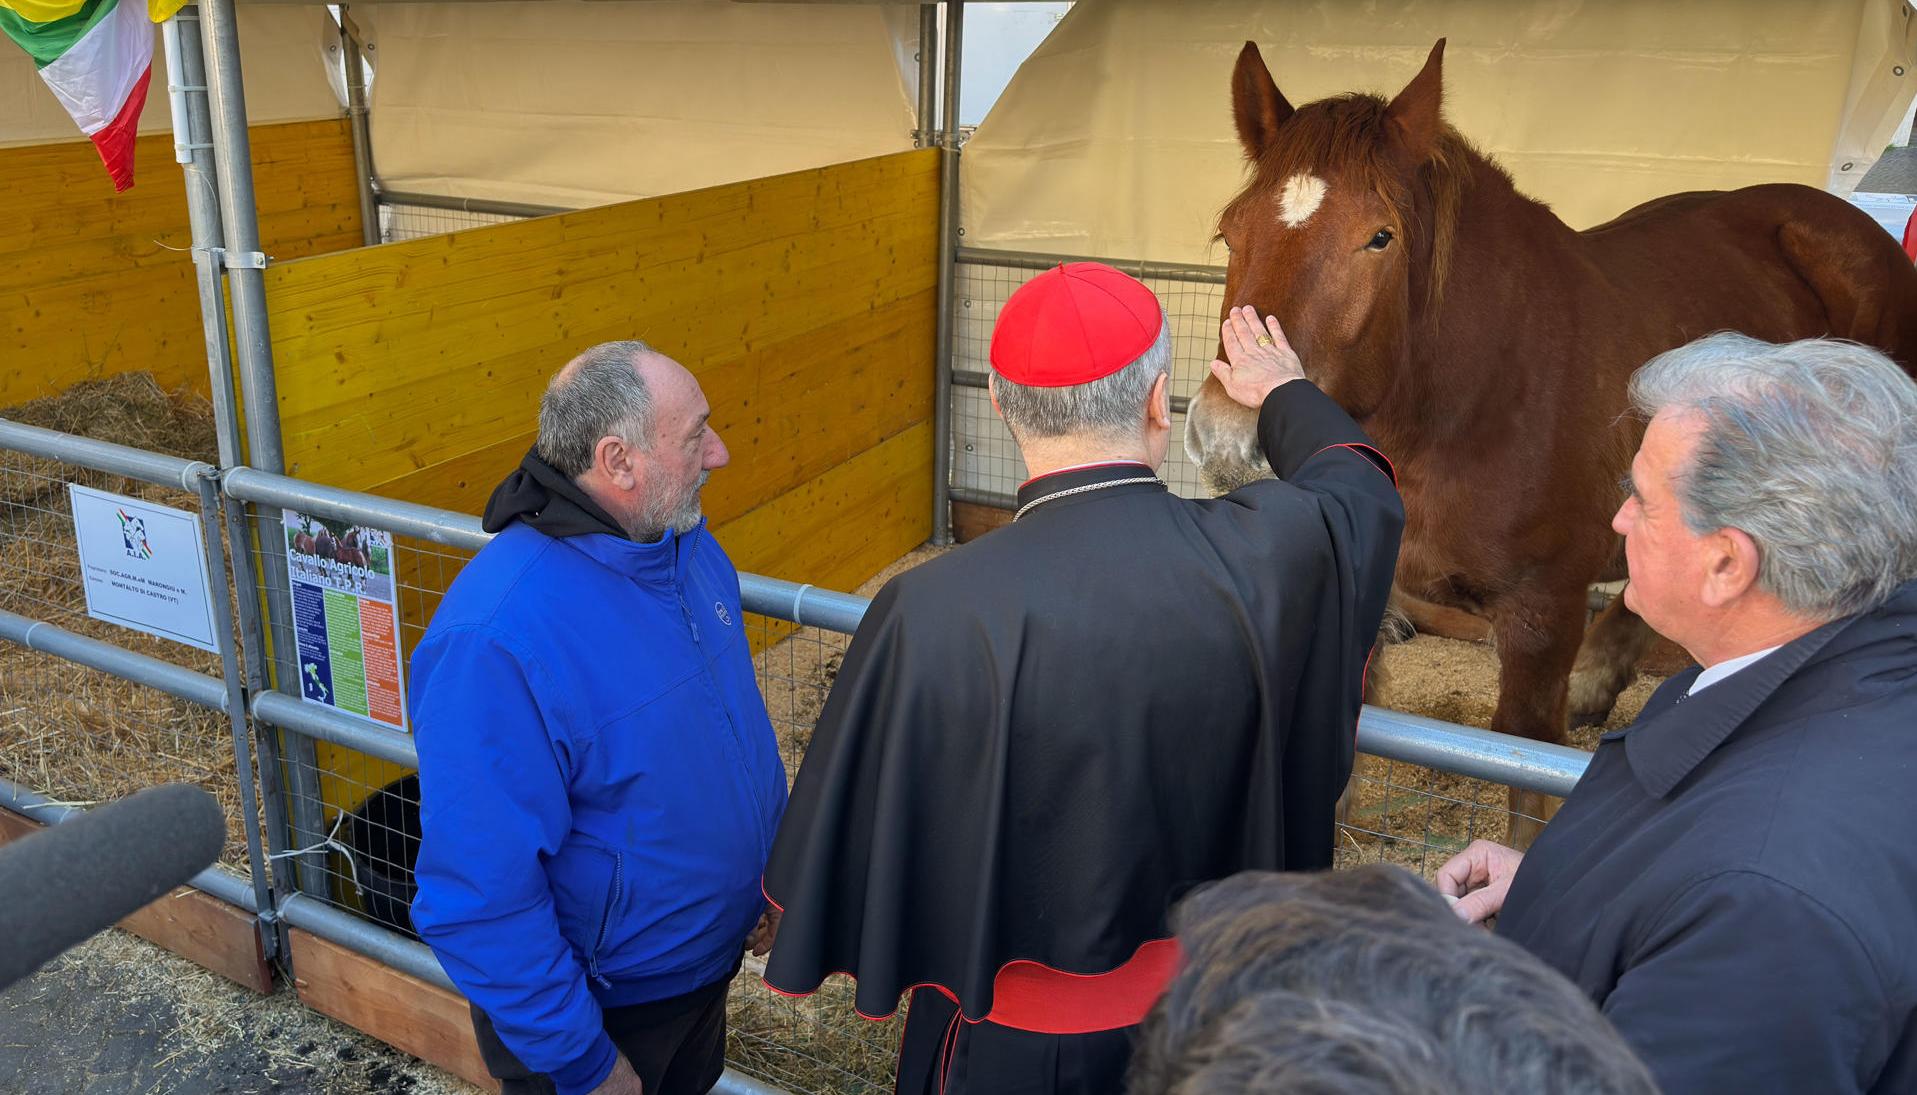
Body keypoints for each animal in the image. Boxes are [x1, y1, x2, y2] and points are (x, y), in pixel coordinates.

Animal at [1188, 34, 1917, 839]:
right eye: (1231, 232)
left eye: (1379, 238)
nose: (1230, 437)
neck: (1473, 401)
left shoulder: (1542, 617)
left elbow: (1524, 766)